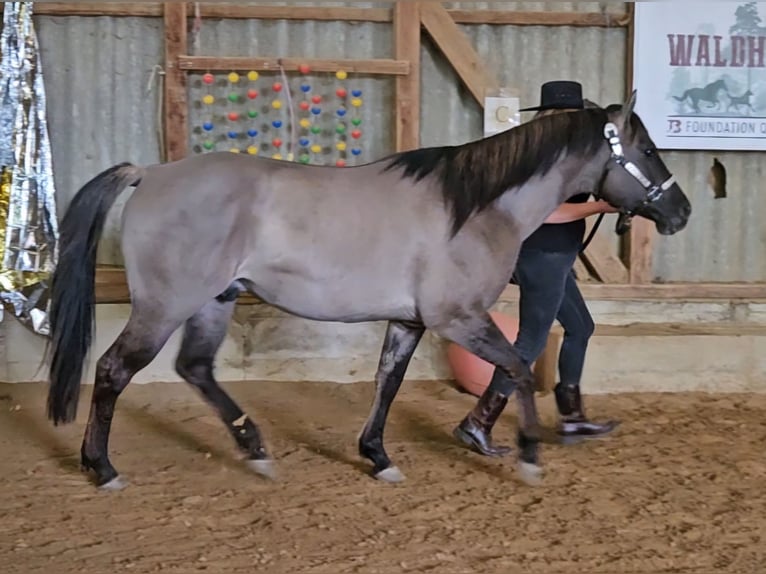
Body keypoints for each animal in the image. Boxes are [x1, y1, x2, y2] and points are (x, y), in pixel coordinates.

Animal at [45, 90, 691, 491]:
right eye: (647, 150)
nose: (680, 212)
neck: (476, 205)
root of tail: (150, 174)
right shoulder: (458, 318)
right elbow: (516, 366)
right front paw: (527, 454)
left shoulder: (409, 321)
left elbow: (388, 383)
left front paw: (378, 458)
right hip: (163, 306)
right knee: (113, 370)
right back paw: (103, 468)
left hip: (213, 302)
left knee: (195, 369)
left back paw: (256, 450)